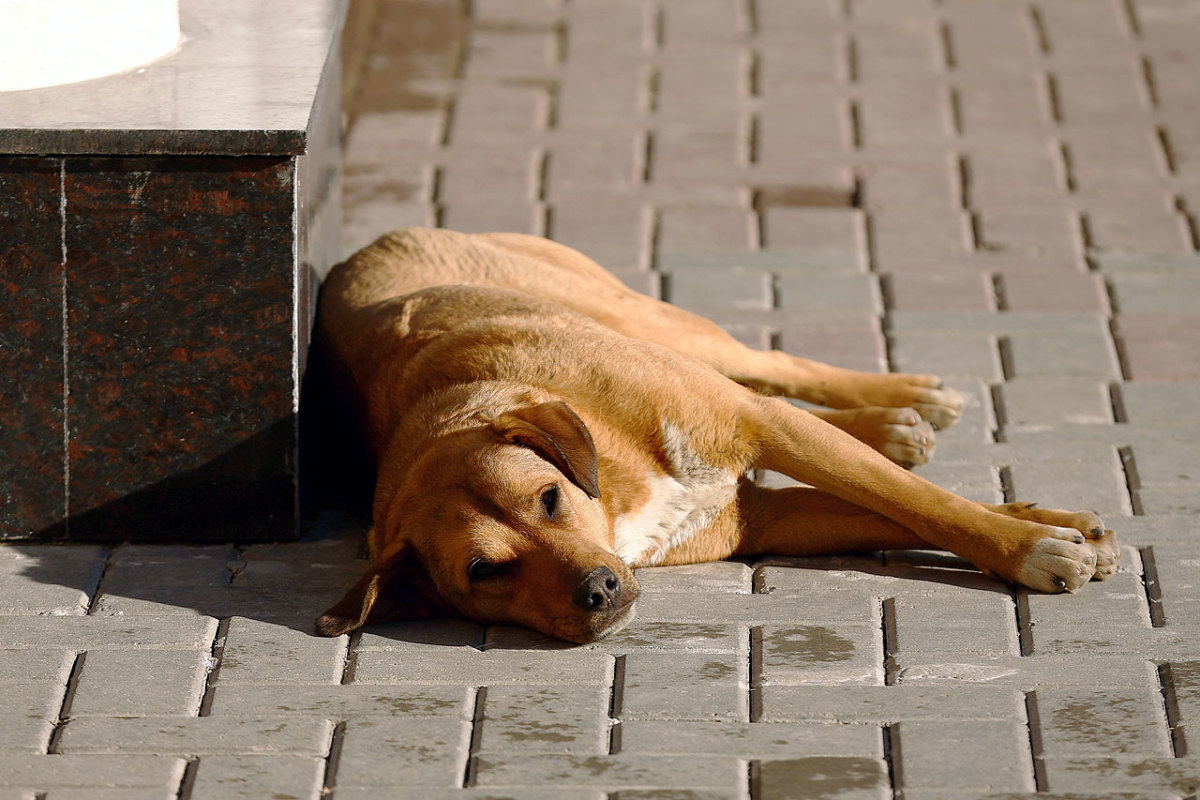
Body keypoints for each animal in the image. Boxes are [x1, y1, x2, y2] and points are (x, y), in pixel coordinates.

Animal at [309, 225, 1113, 642]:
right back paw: (895, 425)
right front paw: (1049, 527)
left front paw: (1032, 543)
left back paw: (905, 399)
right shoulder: (763, 518)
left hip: (651, 321)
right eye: (483, 571)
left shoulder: (764, 430)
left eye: (548, 498)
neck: (616, 487)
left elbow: (923, 503)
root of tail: (365, 247)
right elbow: (895, 512)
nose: (598, 589)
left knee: (772, 368)